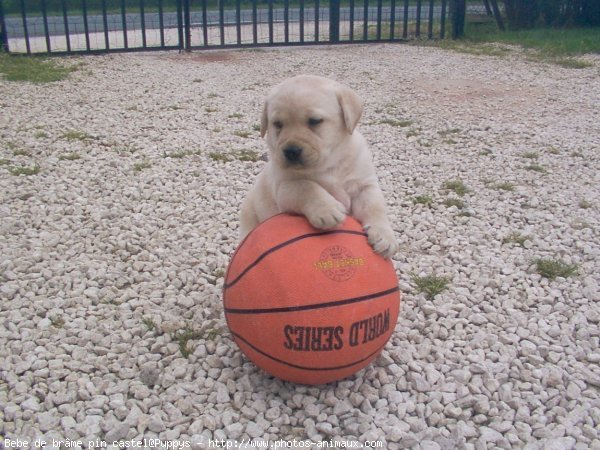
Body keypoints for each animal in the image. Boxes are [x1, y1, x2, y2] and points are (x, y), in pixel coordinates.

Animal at [239, 75, 398, 258]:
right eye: (277, 124)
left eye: (314, 121)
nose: (291, 151)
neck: (330, 163)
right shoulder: (284, 187)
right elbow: (306, 187)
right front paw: (327, 210)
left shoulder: (364, 185)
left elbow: (374, 207)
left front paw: (384, 235)